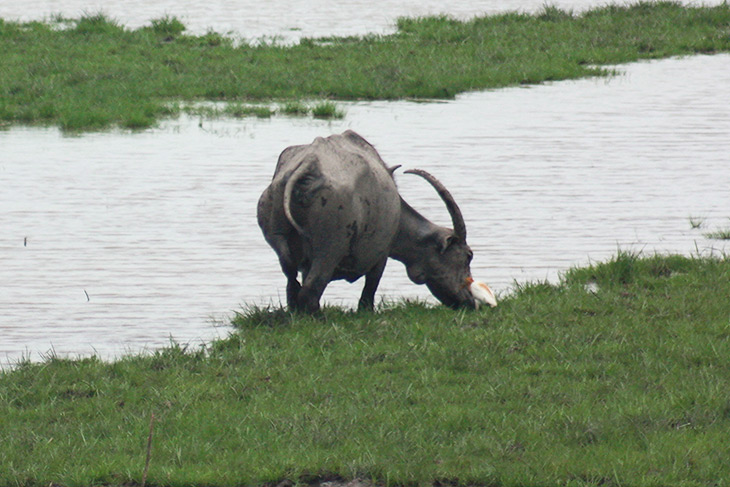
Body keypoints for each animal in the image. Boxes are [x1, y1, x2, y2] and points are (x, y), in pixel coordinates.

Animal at [258, 130, 478, 312]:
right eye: (468, 256)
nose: (470, 303)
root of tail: (308, 165)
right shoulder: (381, 254)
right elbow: (371, 286)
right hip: (329, 249)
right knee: (311, 289)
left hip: (279, 238)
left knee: (292, 282)